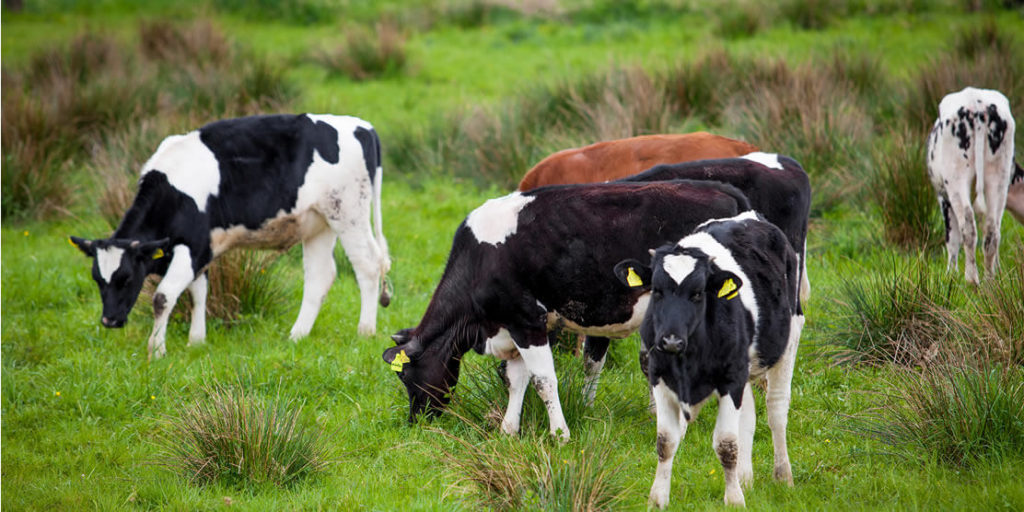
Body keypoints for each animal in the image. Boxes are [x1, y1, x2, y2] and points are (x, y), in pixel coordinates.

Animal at [71, 113, 391, 358]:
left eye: (127, 278)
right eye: (97, 279)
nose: (109, 320)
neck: (172, 191)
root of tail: (362, 125)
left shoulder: (194, 246)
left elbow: (163, 296)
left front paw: (157, 350)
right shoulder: (202, 249)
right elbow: (199, 292)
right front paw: (196, 341)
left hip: (348, 213)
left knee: (368, 265)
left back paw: (365, 331)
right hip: (319, 223)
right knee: (320, 276)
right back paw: (297, 335)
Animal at [380, 180, 749, 440]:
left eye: (406, 376)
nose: (416, 420)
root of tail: (721, 188)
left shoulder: (527, 320)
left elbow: (544, 380)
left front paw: (560, 434)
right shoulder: (515, 326)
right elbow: (517, 379)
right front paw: (509, 430)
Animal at [610, 211, 802, 507]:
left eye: (698, 293)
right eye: (656, 290)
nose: (671, 341)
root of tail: (750, 216)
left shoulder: (730, 380)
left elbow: (726, 444)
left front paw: (734, 500)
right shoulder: (659, 377)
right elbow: (665, 442)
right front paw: (657, 499)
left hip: (789, 339)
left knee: (776, 410)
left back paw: (783, 476)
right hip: (743, 367)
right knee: (748, 416)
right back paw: (746, 479)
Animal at [929, 85, 1015, 282]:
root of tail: (977, 103)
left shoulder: (943, 198)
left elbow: (952, 238)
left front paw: (950, 275)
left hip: (956, 180)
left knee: (968, 227)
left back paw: (971, 280)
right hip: (999, 178)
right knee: (992, 230)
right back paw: (990, 281)